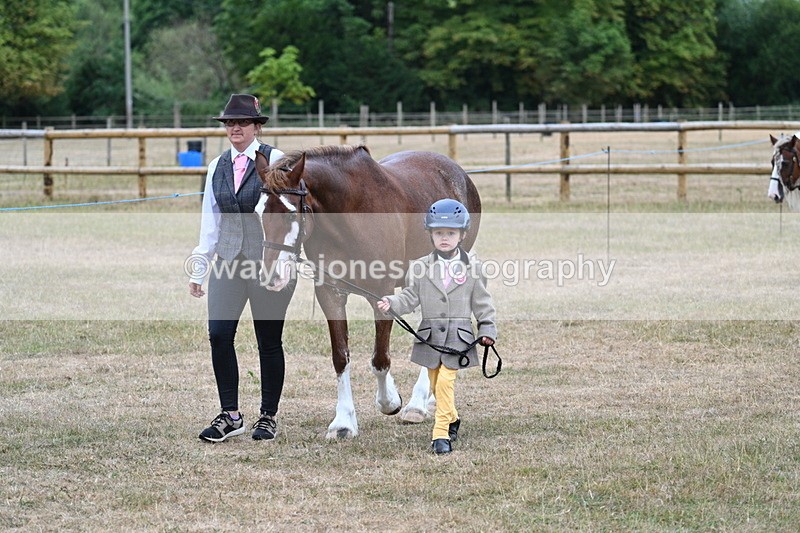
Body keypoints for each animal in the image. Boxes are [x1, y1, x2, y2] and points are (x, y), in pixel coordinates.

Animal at [253, 144, 482, 439]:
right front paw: (343, 422)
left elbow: (380, 359)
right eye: (257, 212)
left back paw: (417, 405)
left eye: (292, 213)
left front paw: (389, 402)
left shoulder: (381, 294)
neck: (350, 219)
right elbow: (340, 357)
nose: (271, 277)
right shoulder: (330, 293)